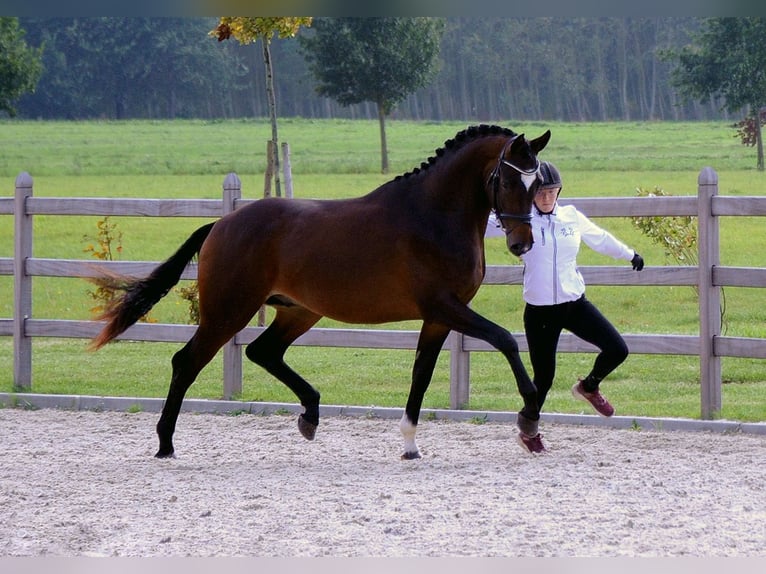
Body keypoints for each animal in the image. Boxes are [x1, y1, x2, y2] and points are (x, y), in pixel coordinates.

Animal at [91, 124, 552, 462]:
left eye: (537, 184)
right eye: (508, 179)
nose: (521, 244)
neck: (433, 215)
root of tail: (222, 224)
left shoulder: (438, 317)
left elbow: (421, 373)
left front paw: (409, 444)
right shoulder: (444, 306)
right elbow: (505, 340)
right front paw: (529, 417)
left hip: (298, 311)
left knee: (262, 351)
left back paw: (310, 414)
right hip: (228, 311)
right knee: (187, 361)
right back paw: (165, 443)